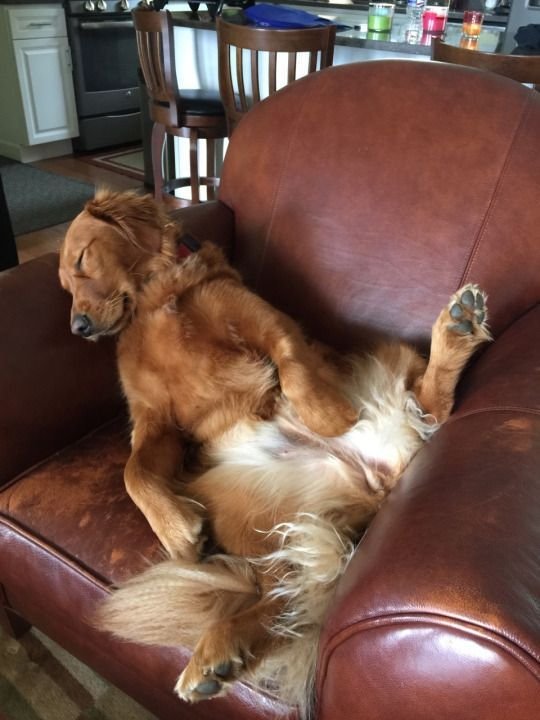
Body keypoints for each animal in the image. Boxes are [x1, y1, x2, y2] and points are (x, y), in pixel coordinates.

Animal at [60, 188, 494, 716]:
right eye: (65, 286)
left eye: (82, 259)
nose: (78, 326)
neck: (152, 301)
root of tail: (378, 480)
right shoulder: (155, 422)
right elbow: (134, 472)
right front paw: (176, 531)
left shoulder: (261, 319)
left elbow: (292, 361)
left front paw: (327, 415)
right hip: (256, 518)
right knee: (284, 599)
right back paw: (218, 656)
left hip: (394, 360)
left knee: (432, 403)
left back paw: (457, 330)